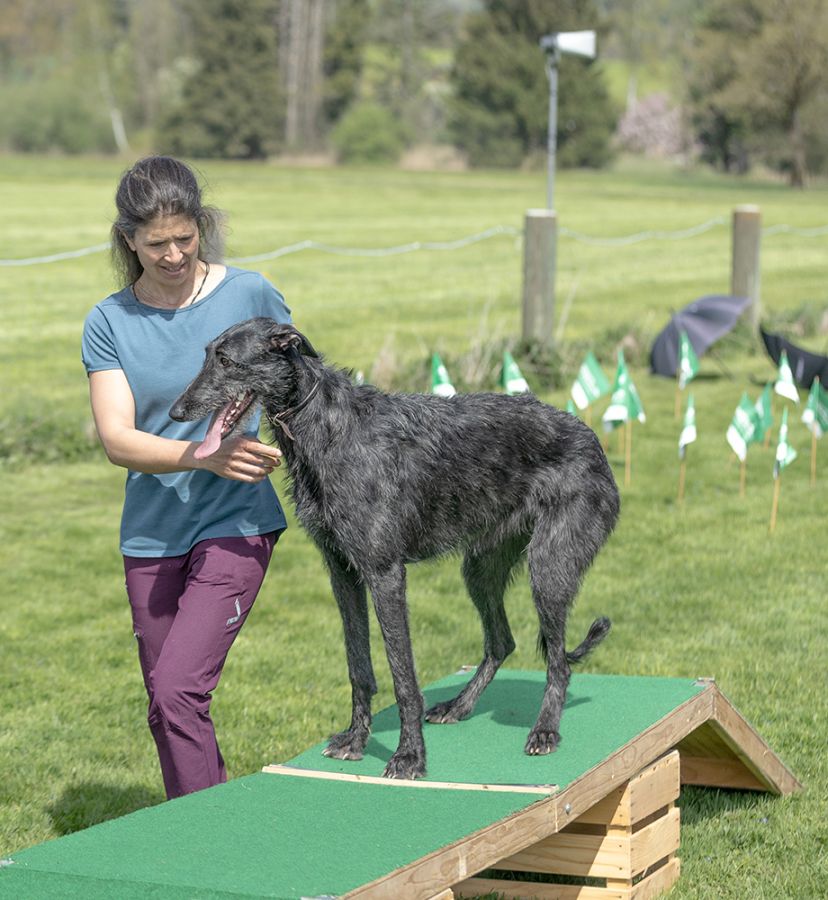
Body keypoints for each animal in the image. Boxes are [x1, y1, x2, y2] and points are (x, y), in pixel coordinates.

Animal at [170, 319, 620, 780]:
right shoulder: (342, 571)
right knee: (502, 642)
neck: (325, 426)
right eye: (207, 355)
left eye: (227, 360)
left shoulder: (385, 572)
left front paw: (409, 756)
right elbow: (359, 666)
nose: (176, 412)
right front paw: (356, 739)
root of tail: (590, 436)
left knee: (558, 661)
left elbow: (403, 676)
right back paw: (459, 705)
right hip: (481, 567)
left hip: (550, 566)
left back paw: (545, 730)